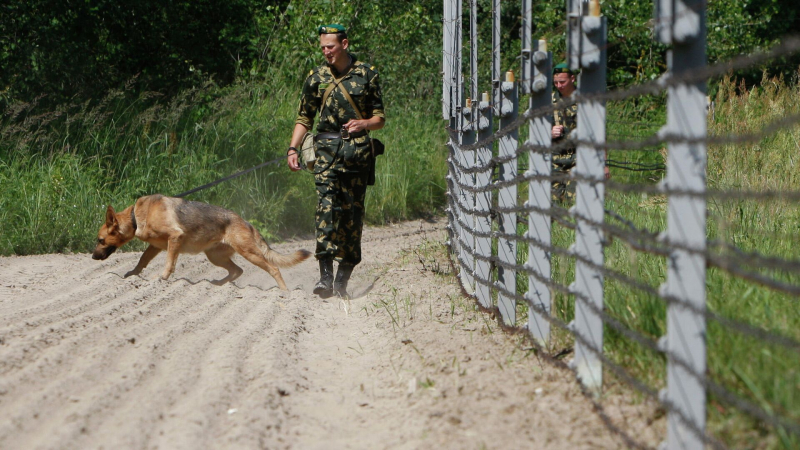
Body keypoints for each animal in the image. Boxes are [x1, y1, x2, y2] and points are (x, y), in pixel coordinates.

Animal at [90, 195, 310, 290]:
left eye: (100, 240)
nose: (92, 256)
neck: (136, 216)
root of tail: (245, 222)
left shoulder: (174, 239)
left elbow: (169, 263)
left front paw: (161, 278)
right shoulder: (155, 246)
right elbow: (142, 260)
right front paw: (132, 276)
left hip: (249, 253)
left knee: (274, 269)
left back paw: (284, 293)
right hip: (215, 256)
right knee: (237, 271)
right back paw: (217, 284)